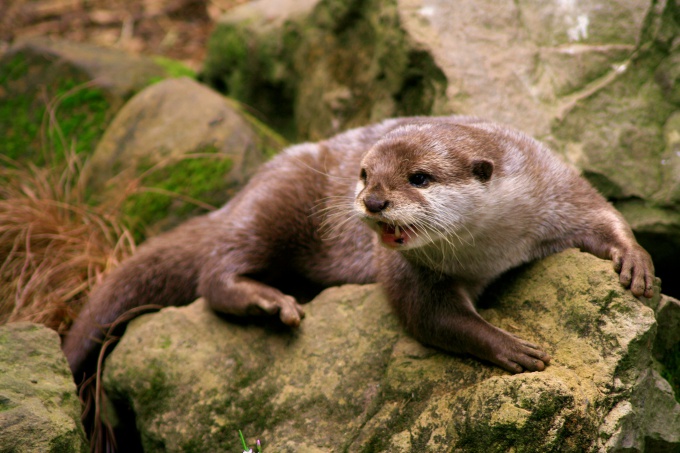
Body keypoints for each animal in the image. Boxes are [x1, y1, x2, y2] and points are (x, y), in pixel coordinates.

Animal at [62, 115, 652, 376]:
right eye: (366, 173)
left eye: (419, 177)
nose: (373, 201)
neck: (493, 248)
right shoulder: (407, 271)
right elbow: (432, 317)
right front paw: (511, 346)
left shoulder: (554, 186)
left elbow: (602, 211)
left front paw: (635, 262)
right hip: (277, 199)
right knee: (216, 272)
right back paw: (268, 301)